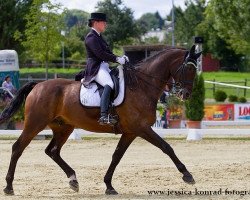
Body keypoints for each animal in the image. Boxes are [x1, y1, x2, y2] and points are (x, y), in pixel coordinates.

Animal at [0, 44, 201, 195]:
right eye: (190, 68)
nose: (186, 94)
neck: (142, 85)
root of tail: (38, 85)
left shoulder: (130, 132)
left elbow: (116, 156)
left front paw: (109, 185)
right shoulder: (142, 128)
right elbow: (166, 147)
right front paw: (187, 175)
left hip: (63, 127)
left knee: (53, 151)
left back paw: (73, 180)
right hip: (35, 123)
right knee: (18, 147)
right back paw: (9, 186)